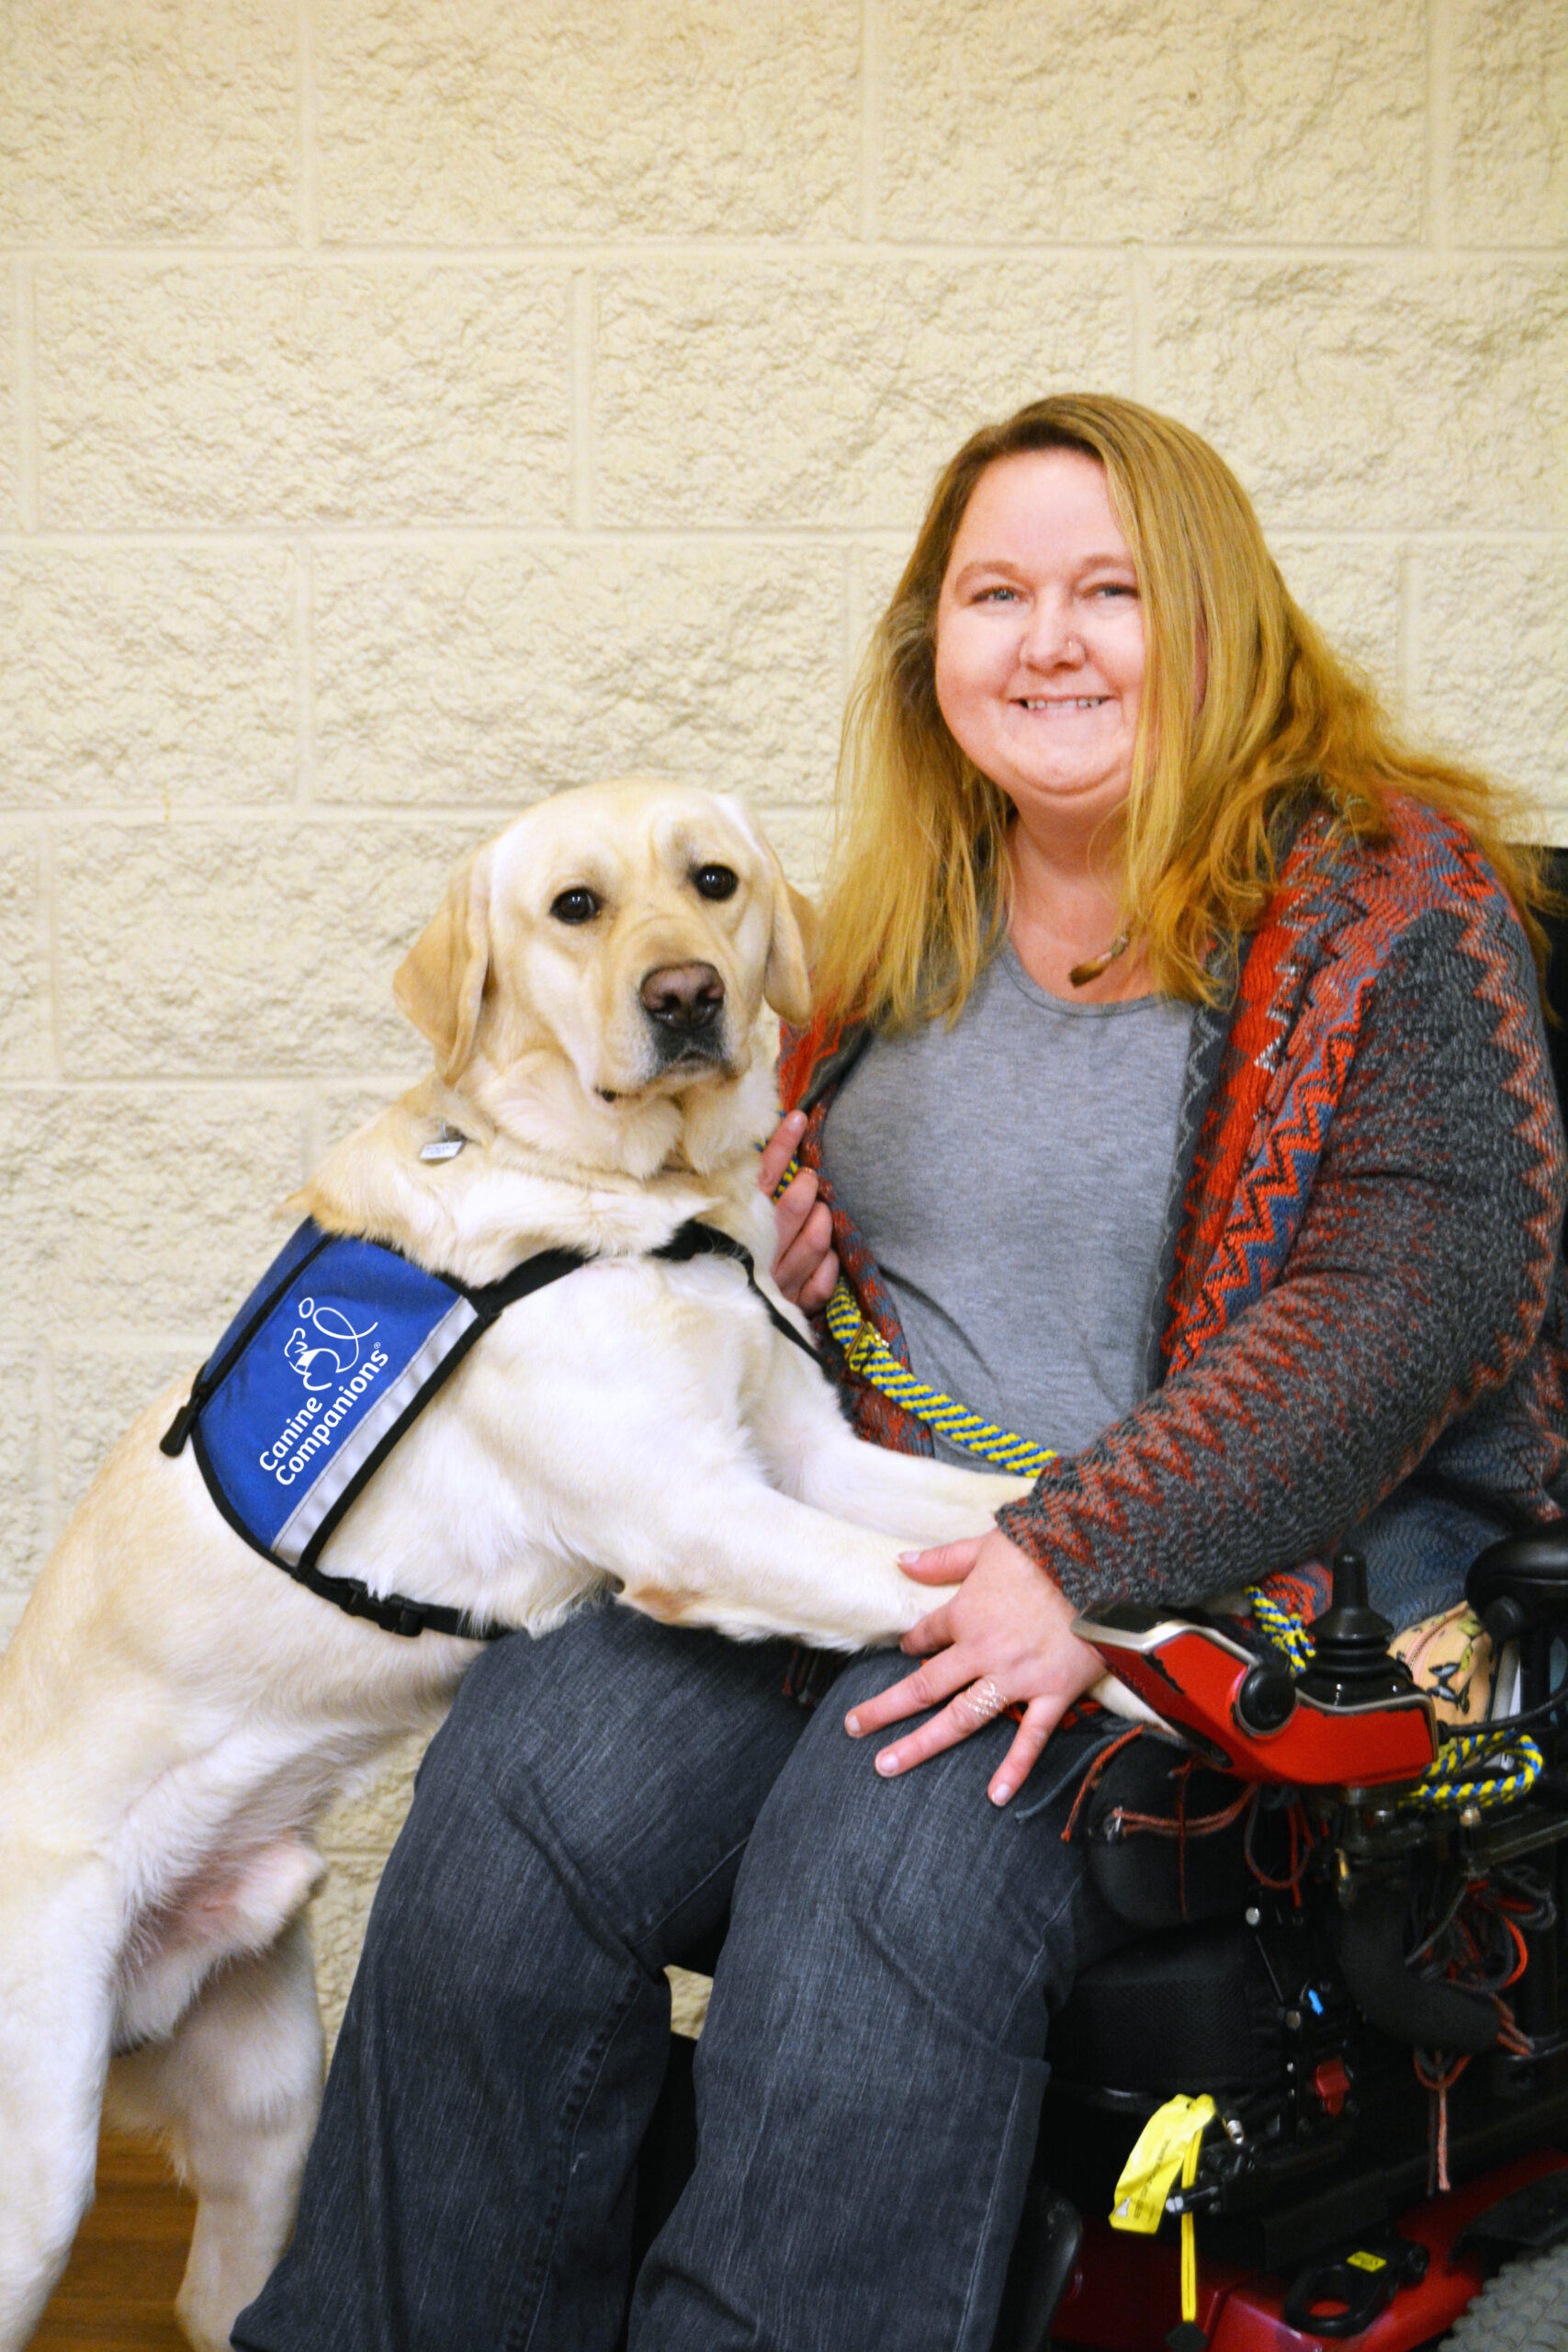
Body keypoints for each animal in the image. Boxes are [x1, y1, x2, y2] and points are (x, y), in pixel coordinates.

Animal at [0, 786, 1029, 2352]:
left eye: (712, 883)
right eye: (575, 909)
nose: (686, 997)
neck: (634, 1201)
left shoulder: (799, 1459)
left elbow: (1010, 1513)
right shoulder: (700, 1520)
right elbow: (951, 1589)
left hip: (264, 2103)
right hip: (37, 2170)